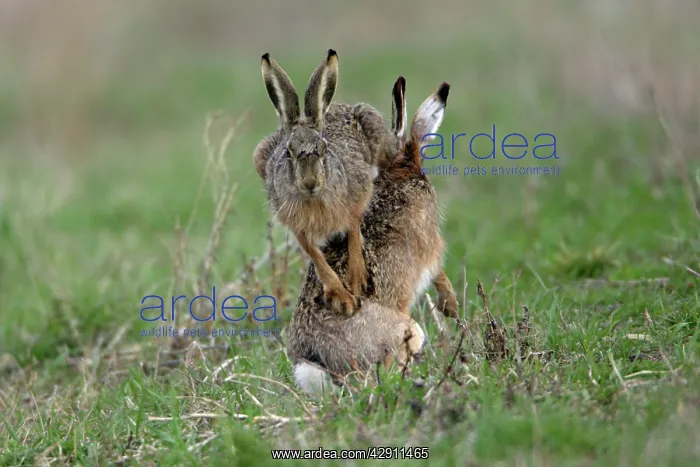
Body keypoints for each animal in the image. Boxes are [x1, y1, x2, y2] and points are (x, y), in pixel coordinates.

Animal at [252, 49, 396, 317]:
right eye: (288, 152)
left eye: (324, 148)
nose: (310, 182)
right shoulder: (296, 225)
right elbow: (314, 255)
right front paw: (341, 298)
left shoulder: (357, 193)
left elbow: (353, 228)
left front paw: (357, 280)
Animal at [288, 77, 460, 395]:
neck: (401, 169)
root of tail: (317, 364)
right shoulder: (431, 244)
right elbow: (437, 269)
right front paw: (451, 305)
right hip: (408, 331)